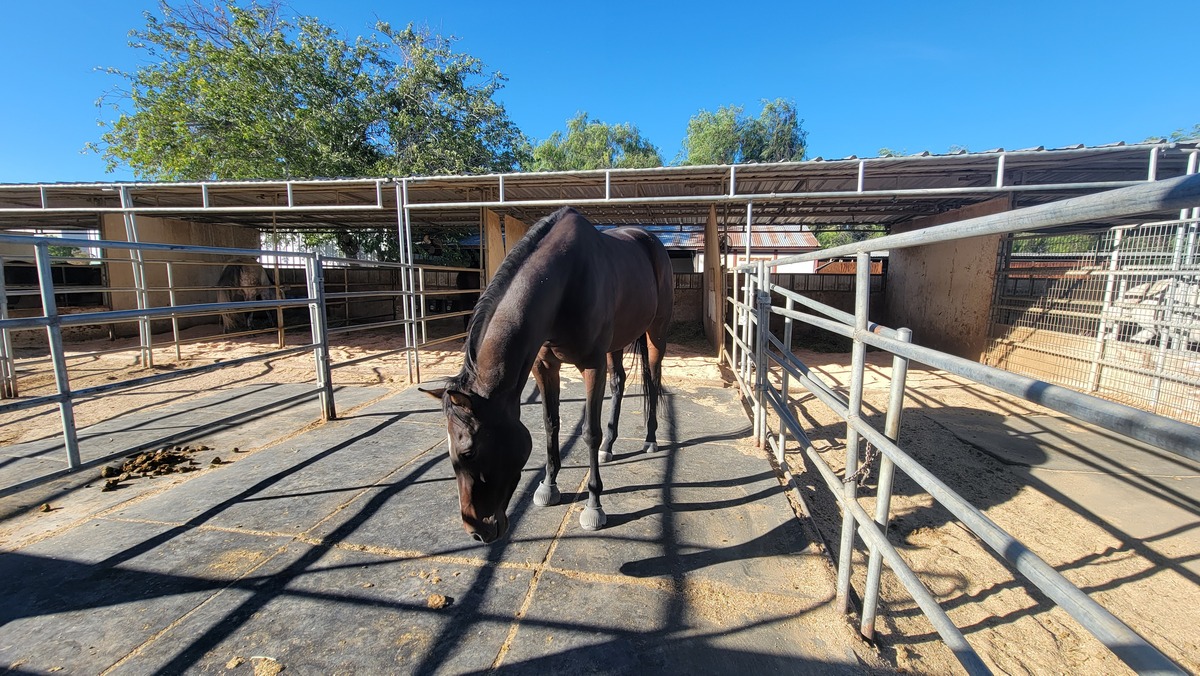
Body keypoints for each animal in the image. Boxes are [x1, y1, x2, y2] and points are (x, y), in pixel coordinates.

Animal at [421, 206, 673, 543]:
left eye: (470, 453)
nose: (476, 532)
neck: (565, 282)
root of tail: (650, 241)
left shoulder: (592, 365)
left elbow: (589, 432)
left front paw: (594, 506)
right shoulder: (544, 366)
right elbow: (551, 423)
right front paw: (548, 486)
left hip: (656, 332)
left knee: (653, 379)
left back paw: (650, 439)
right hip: (617, 342)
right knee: (618, 381)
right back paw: (609, 446)